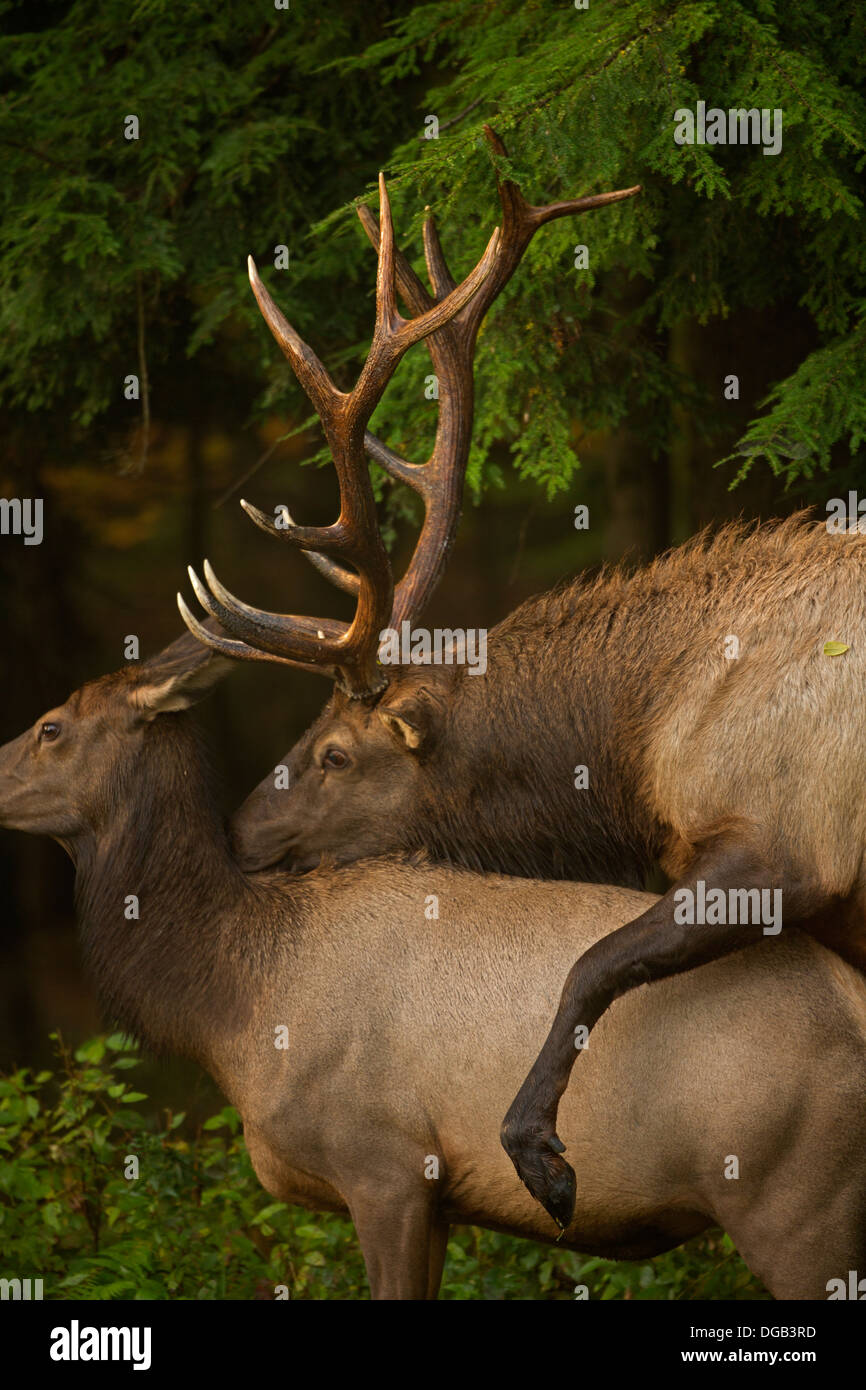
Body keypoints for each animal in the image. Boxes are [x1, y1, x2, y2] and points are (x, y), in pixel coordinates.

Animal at [174, 130, 866, 1223]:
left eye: (334, 753)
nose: (241, 837)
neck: (639, 741)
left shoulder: (788, 840)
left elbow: (591, 962)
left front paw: (537, 1151)